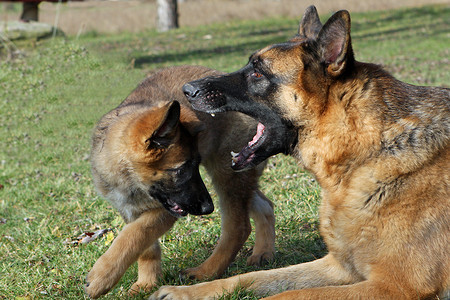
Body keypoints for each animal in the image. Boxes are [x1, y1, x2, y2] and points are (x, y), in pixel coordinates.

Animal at [84, 66, 274, 298]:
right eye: (181, 169)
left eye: (194, 165)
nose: (207, 208)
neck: (130, 181)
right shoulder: (129, 209)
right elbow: (145, 247)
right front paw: (147, 283)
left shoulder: (165, 211)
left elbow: (134, 235)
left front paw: (102, 277)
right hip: (240, 175)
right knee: (265, 205)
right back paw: (263, 252)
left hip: (227, 173)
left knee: (239, 226)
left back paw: (206, 272)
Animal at [150, 5, 450, 300]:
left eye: (258, 74)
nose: (187, 89)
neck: (363, 153)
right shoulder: (339, 266)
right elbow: (249, 278)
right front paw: (184, 292)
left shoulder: (395, 285)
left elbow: (285, 295)